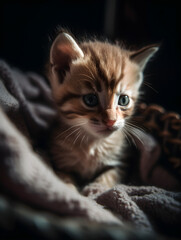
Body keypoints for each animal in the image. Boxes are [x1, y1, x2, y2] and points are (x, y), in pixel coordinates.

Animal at [47, 31, 158, 189]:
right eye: (90, 99)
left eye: (124, 100)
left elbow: (110, 175)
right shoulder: (59, 161)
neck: (93, 143)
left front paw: (95, 188)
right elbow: (63, 178)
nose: (111, 121)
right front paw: (69, 189)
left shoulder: (122, 163)